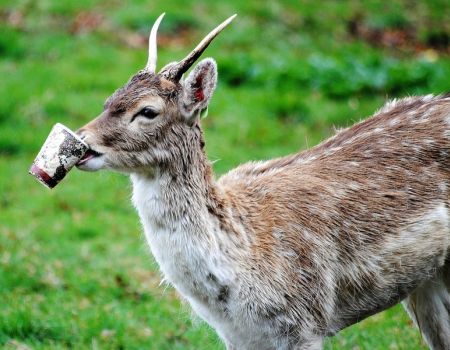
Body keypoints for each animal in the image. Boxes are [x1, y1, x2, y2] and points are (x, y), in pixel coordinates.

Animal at [75, 13, 450, 350]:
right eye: (109, 100)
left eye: (147, 111)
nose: (82, 142)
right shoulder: (239, 337)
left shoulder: (306, 322)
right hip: (427, 281)